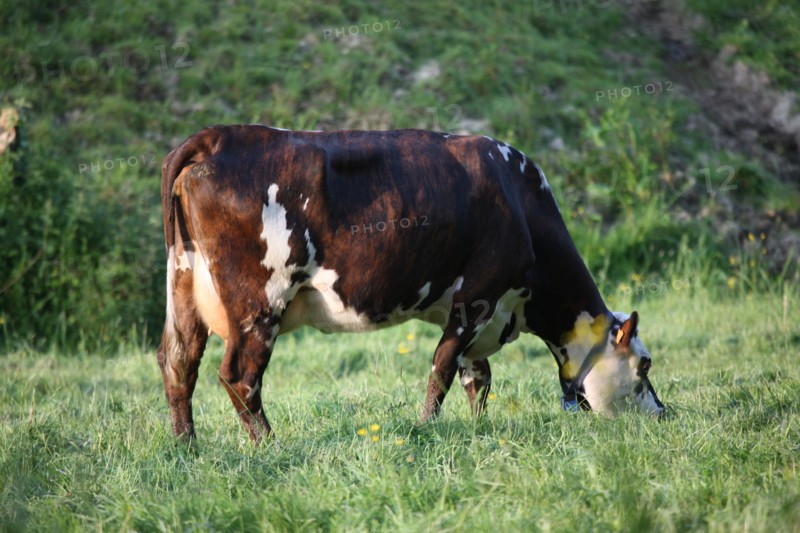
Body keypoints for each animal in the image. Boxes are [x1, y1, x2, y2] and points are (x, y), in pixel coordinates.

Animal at [157, 125, 664, 443]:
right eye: (644, 365)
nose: (664, 413)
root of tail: (220, 136)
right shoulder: (477, 296)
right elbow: (442, 368)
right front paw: (426, 428)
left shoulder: (477, 314)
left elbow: (477, 376)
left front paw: (478, 428)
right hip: (259, 301)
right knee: (239, 376)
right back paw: (270, 444)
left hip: (184, 284)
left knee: (178, 363)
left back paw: (187, 447)